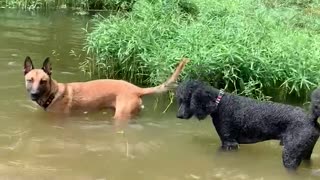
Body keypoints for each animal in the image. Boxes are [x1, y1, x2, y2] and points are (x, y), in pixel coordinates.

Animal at [23, 56, 189, 121]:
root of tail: (137, 89)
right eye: (30, 80)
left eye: (43, 81)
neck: (53, 94)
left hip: (121, 115)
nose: (34, 94)